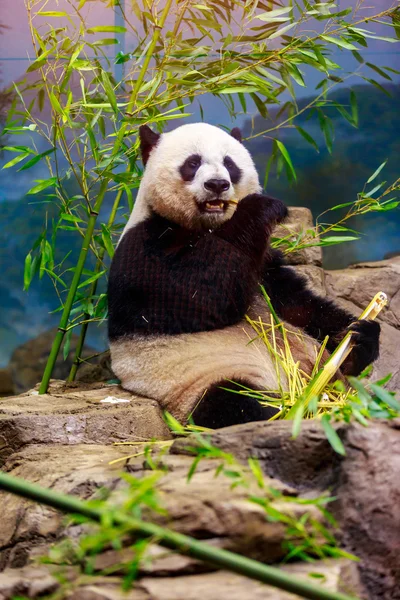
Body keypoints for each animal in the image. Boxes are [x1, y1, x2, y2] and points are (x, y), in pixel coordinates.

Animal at [106, 123, 378, 426]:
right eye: (193, 163)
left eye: (229, 164)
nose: (217, 185)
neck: (208, 226)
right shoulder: (144, 246)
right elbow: (198, 297)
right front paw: (261, 207)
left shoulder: (265, 261)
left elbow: (297, 304)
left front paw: (359, 337)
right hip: (195, 384)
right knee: (233, 401)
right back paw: (289, 413)